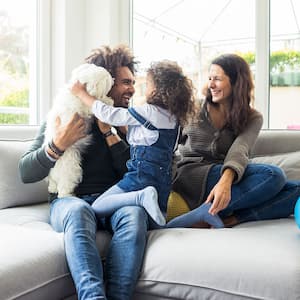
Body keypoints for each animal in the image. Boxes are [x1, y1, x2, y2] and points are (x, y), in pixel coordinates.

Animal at [44, 63, 113, 197]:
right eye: (107, 80)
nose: (113, 80)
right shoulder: (84, 107)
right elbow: (96, 103)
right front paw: (108, 100)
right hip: (71, 167)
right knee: (65, 186)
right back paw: (66, 194)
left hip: (53, 174)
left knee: (52, 182)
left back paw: (52, 188)